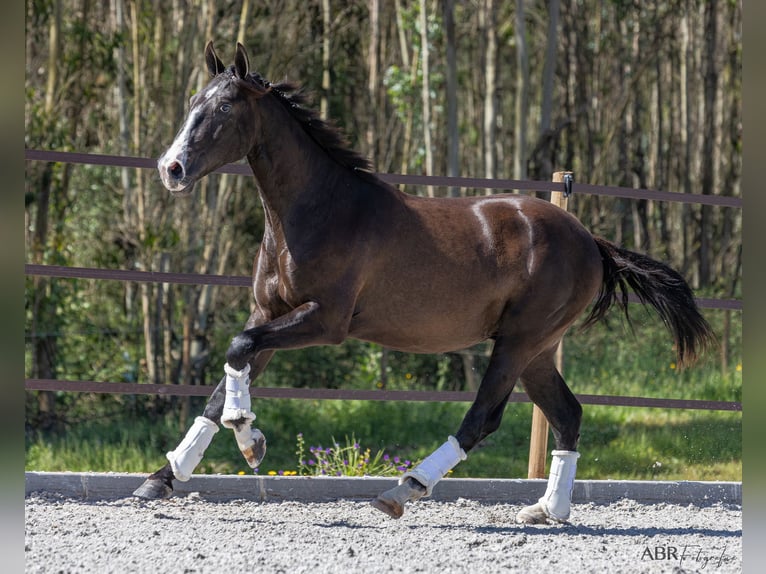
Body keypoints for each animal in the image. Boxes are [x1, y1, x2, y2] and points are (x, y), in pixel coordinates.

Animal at [132, 42, 712, 524]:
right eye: (193, 101)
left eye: (225, 108)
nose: (171, 168)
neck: (317, 212)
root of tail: (590, 239)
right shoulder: (270, 315)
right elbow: (224, 380)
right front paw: (166, 477)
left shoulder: (325, 320)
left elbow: (237, 348)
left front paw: (249, 438)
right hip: (539, 350)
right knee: (568, 415)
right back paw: (548, 511)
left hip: (518, 341)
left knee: (483, 419)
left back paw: (403, 490)